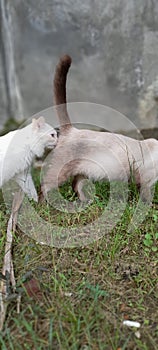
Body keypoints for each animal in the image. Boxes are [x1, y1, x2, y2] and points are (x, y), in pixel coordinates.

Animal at [39, 55, 158, 202]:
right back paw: (44, 205)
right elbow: (146, 199)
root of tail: (72, 130)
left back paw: (86, 202)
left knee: (75, 184)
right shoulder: (144, 181)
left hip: (85, 171)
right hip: (62, 172)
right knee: (44, 186)